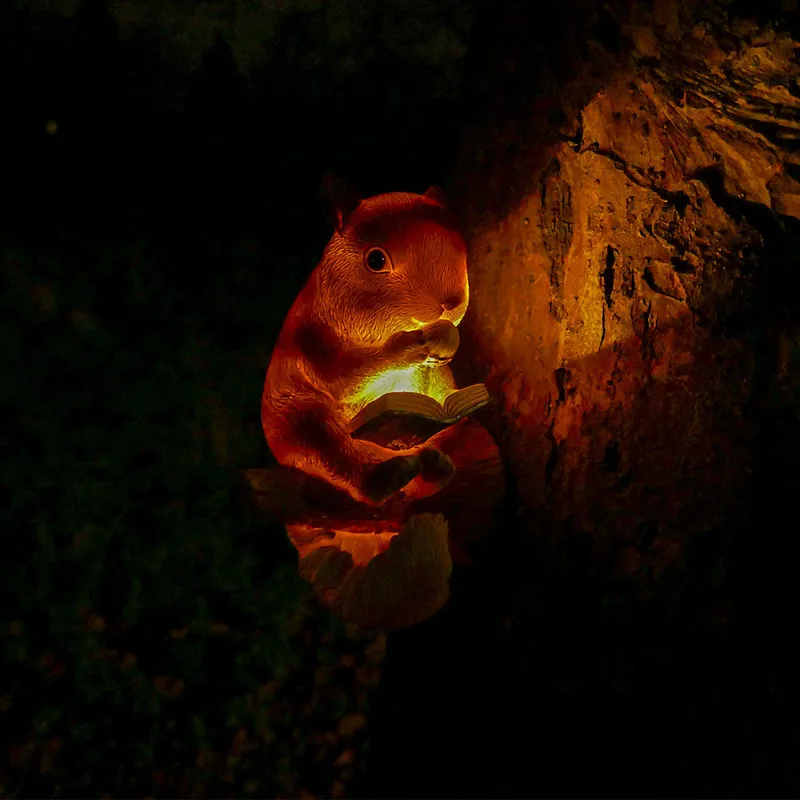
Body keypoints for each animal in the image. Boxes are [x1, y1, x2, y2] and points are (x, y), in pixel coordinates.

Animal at [261, 175, 470, 506]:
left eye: (462, 248)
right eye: (376, 260)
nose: (452, 301)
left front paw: (447, 338)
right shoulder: (314, 343)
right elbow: (346, 377)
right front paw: (413, 345)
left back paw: (428, 461)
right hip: (298, 420)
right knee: (336, 453)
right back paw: (394, 472)